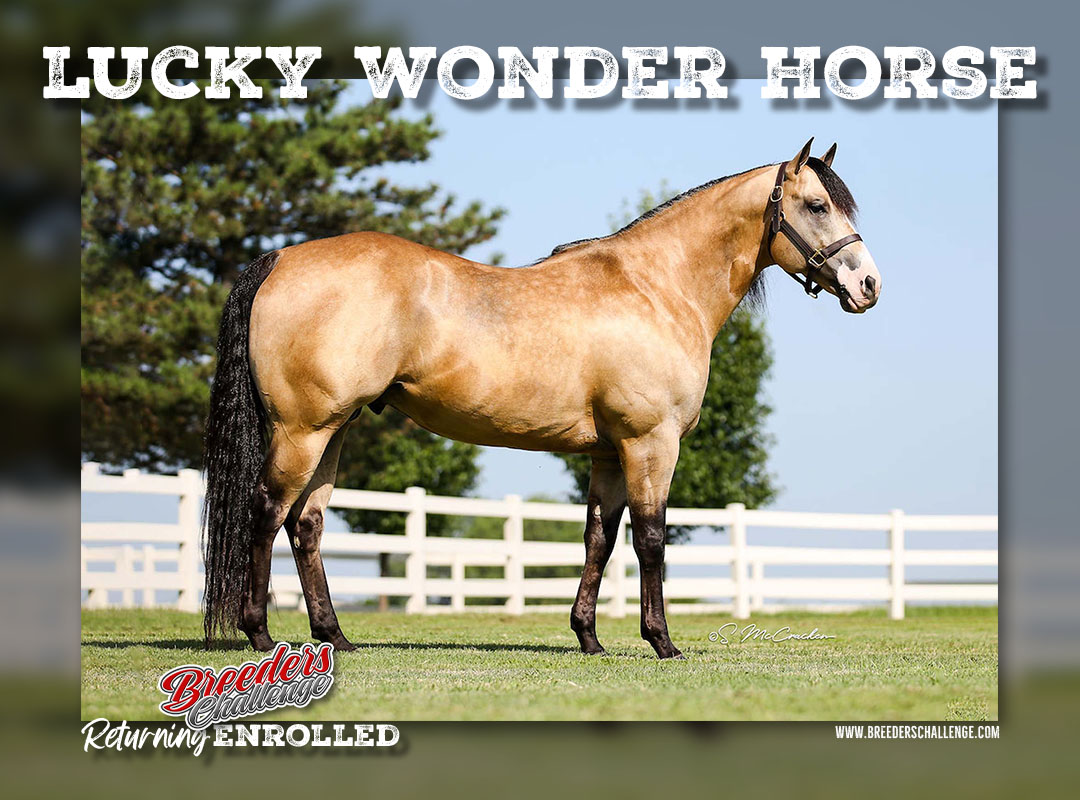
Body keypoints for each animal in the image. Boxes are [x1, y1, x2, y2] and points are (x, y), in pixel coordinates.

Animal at [201, 137, 882, 659]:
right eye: (817, 204)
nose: (868, 285)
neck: (656, 287)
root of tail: (280, 258)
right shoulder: (650, 443)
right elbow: (651, 539)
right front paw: (662, 642)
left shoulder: (609, 453)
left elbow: (599, 539)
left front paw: (589, 638)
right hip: (303, 430)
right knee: (266, 514)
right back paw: (260, 636)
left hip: (333, 431)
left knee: (306, 524)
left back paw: (334, 637)